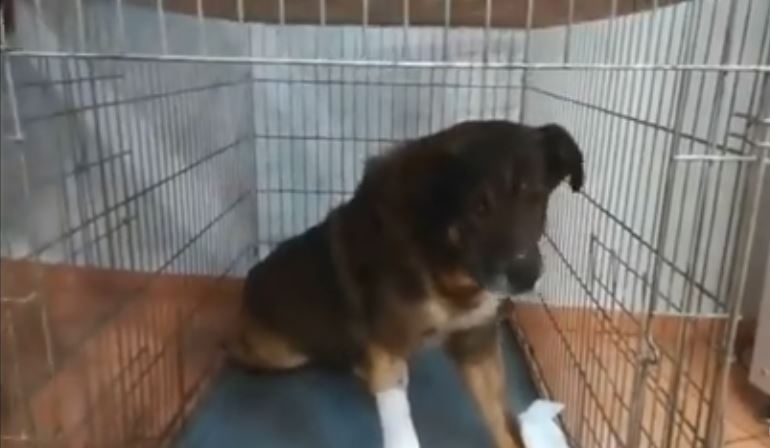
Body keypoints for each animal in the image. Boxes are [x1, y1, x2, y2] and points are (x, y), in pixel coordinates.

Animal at [227, 120, 584, 448]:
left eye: (536, 200)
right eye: (479, 207)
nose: (527, 274)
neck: (449, 274)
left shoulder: (477, 345)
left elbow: (505, 423)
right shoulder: (388, 346)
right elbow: (400, 423)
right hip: (279, 352)